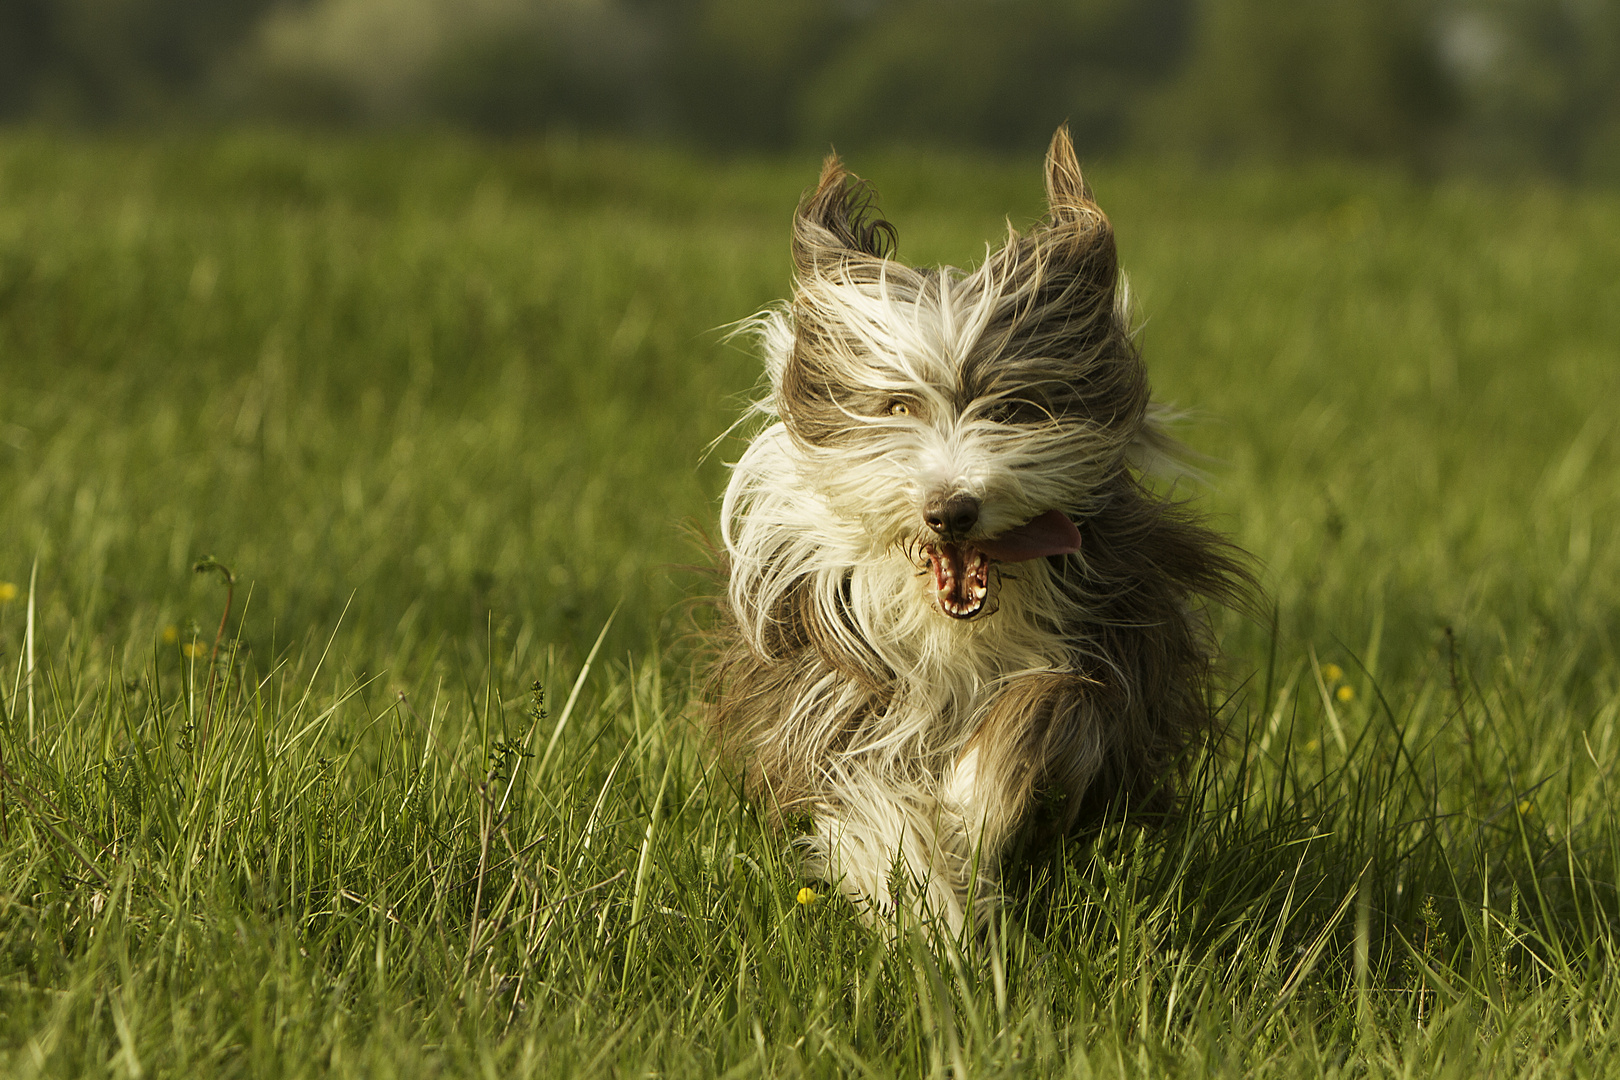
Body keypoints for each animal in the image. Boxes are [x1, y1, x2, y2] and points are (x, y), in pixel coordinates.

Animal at [709, 127, 1250, 932]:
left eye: (1015, 409)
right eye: (898, 406)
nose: (951, 509)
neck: (959, 632)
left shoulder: (1106, 660)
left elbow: (1037, 722)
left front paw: (975, 810)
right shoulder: (839, 690)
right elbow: (870, 801)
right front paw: (931, 914)